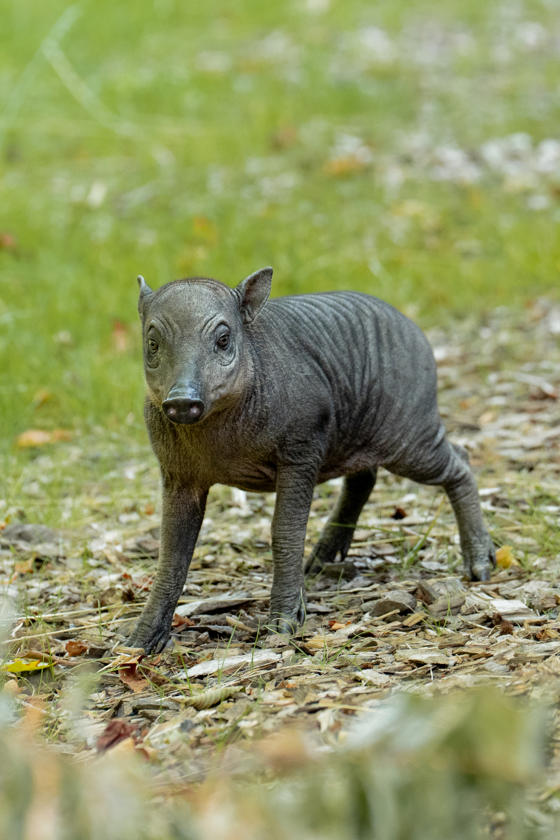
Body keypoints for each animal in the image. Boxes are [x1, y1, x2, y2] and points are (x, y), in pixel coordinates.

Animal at [127, 267, 495, 653]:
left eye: (224, 339)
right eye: (153, 343)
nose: (182, 401)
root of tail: (414, 329)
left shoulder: (301, 453)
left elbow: (284, 532)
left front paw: (283, 623)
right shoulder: (178, 474)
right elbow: (171, 552)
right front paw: (138, 642)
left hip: (411, 437)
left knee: (461, 461)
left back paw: (480, 564)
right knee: (363, 479)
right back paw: (322, 559)